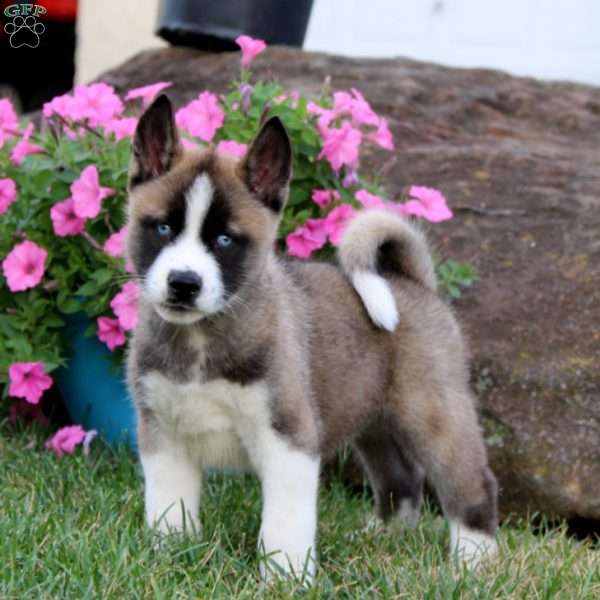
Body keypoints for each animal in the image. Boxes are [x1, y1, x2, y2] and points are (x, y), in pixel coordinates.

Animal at [125, 95, 496, 580]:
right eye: (163, 229)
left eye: (225, 240)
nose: (184, 283)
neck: (201, 341)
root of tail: (413, 283)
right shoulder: (164, 437)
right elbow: (170, 508)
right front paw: (169, 556)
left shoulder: (288, 438)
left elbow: (285, 522)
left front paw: (285, 576)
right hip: (373, 421)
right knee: (402, 481)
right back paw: (379, 536)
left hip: (433, 415)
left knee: (471, 483)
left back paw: (475, 561)